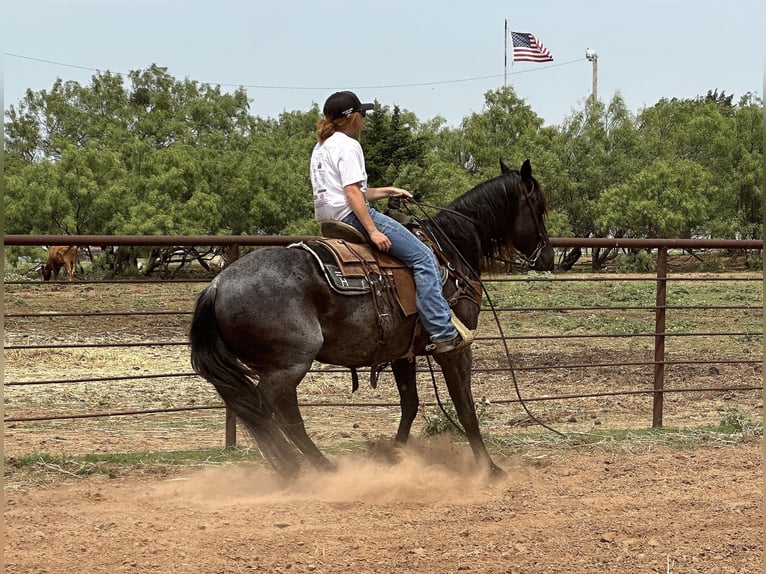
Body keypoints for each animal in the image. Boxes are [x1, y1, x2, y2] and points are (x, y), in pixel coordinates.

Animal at [190, 160, 556, 480]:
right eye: (539, 206)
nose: (549, 257)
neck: (449, 250)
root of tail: (217, 285)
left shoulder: (402, 352)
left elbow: (410, 404)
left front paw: (395, 456)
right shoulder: (454, 348)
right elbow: (464, 407)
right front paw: (489, 469)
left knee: (256, 407)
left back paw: (296, 468)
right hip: (289, 364)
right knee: (276, 406)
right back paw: (319, 467)